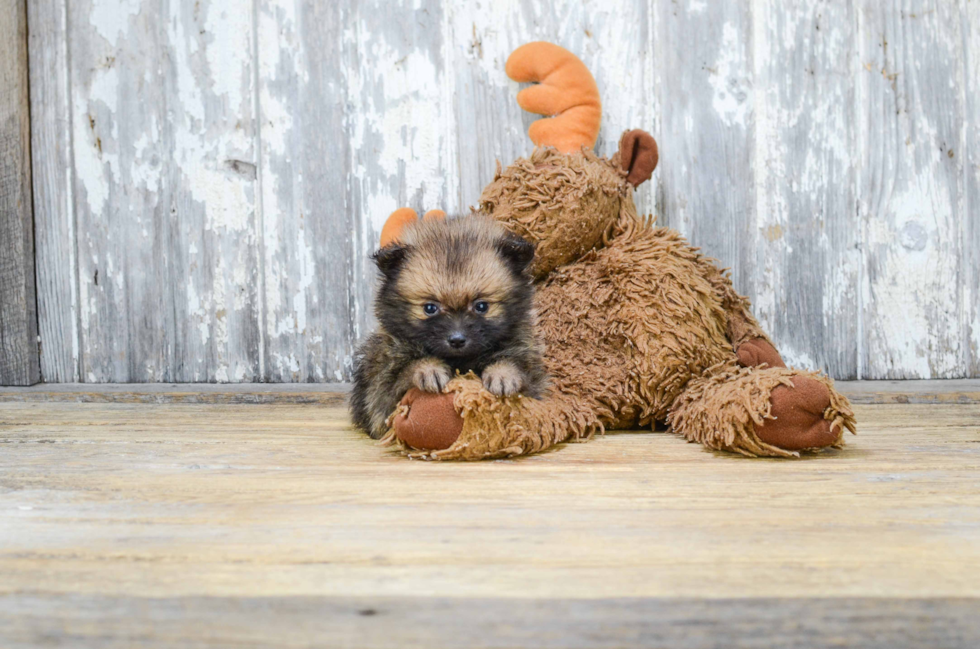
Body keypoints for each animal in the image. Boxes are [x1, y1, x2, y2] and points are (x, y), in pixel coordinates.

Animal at [352, 215, 552, 438]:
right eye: (430, 308)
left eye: (481, 306)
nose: (457, 339)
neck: (461, 361)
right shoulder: (381, 391)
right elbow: (404, 374)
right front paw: (427, 369)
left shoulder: (530, 370)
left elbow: (516, 369)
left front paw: (503, 374)